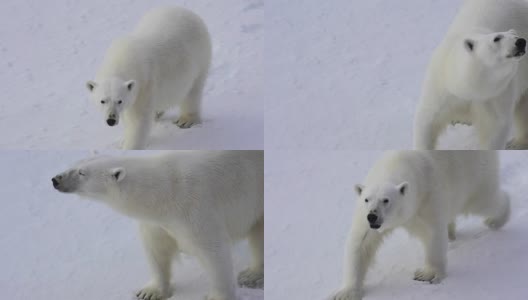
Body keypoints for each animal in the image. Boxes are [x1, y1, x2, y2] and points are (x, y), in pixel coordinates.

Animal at [52, 151, 262, 298]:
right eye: (76, 164)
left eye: (82, 173)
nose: (55, 180)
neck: (167, 192)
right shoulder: (159, 222)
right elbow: (157, 249)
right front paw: (150, 292)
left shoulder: (195, 209)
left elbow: (213, 252)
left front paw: (217, 296)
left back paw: (251, 275)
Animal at [85, 7, 211, 150]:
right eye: (102, 101)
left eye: (119, 101)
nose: (111, 120)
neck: (121, 60)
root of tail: (190, 12)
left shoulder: (144, 84)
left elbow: (138, 119)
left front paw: (129, 146)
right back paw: (157, 113)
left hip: (200, 57)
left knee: (193, 91)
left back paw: (186, 120)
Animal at [330, 151, 508, 300]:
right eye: (367, 199)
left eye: (386, 200)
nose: (372, 216)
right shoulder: (364, 217)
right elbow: (361, 242)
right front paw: (346, 293)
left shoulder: (427, 199)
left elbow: (433, 234)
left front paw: (427, 274)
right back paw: (451, 232)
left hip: (475, 177)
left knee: (484, 202)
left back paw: (496, 219)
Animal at [412, 0, 528, 149]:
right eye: (497, 38)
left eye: (516, 35)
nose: (521, 41)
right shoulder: (442, 86)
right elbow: (428, 119)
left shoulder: (496, 94)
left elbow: (494, 127)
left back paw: (516, 143)